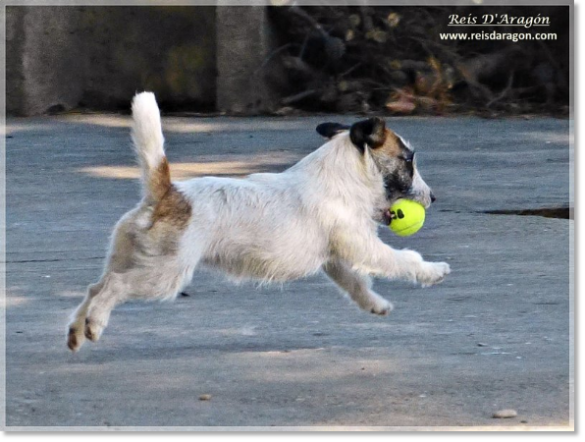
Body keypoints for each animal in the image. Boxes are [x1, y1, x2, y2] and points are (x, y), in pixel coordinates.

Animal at [66, 92, 450, 352]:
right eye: (408, 160)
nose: (432, 198)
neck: (341, 177)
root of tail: (165, 194)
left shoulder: (337, 259)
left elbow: (356, 284)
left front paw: (376, 304)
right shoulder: (364, 247)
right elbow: (401, 260)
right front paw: (433, 271)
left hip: (131, 257)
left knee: (96, 287)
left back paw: (77, 331)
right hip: (163, 274)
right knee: (115, 286)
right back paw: (95, 324)